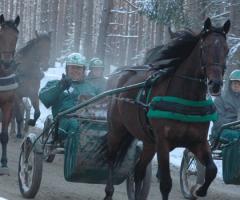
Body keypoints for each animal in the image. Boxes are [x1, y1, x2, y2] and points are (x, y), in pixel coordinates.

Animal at [103, 17, 231, 200]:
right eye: (205, 48)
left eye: (227, 50)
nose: (216, 84)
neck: (185, 100)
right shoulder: (163, 142)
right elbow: (165, 183)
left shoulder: (198, 141)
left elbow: (212, 170)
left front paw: (199, 189)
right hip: (117, 130)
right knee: (111, 159)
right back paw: (109, 191)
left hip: (149, 142)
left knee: (139, 171)